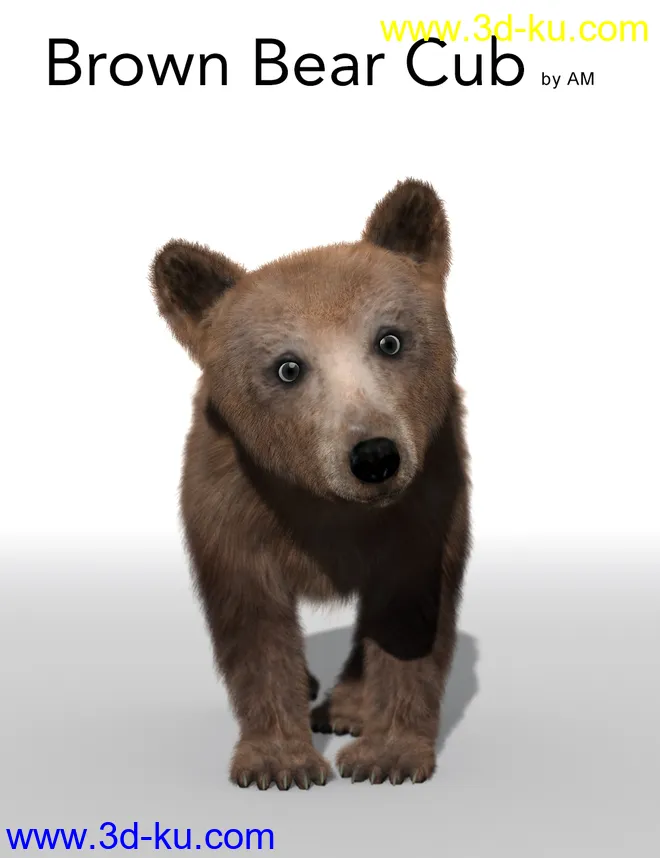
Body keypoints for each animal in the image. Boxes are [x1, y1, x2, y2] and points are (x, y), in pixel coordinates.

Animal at [149, 178, 471, 790]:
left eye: (390, 340)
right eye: (287, 367)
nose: (374, 457)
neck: (324, 507)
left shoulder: (428, 501)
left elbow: (411, 614)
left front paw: (387, 754)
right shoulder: (231, 503)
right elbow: (254, 625)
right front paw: (278, 761)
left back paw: (346, 705)